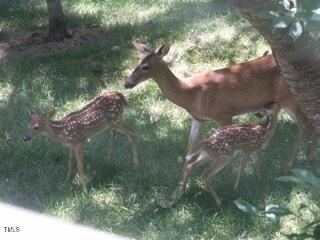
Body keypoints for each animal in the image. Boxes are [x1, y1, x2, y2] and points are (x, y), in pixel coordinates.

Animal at [124, 42, 318, 172]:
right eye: (136, 62)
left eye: (145, 67)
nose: (127, 83)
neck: (191, 94)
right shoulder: (198, 119)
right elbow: (189, 149)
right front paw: (178, 191)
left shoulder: (224, 114)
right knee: (312, 120)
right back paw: (308, 160)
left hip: (287, 97)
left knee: (304, 125)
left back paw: (287, 167)